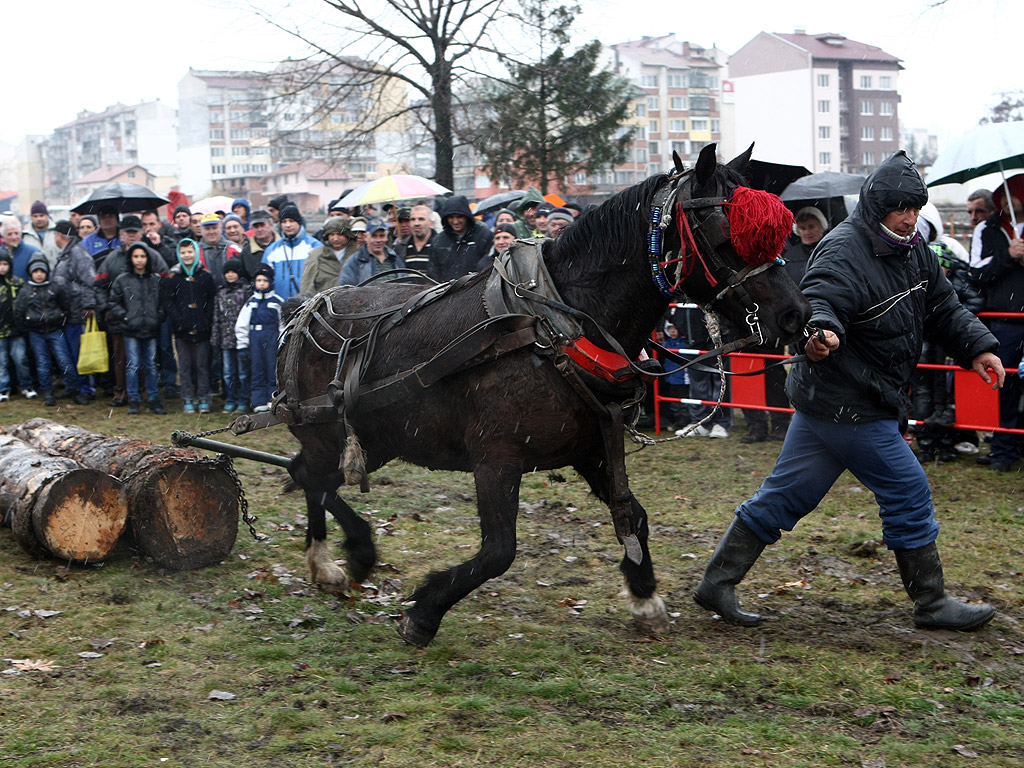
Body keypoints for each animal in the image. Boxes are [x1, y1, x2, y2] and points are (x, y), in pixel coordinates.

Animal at [276, 143, 811, 643]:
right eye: (727, 231)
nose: (795, 313)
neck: (557, 325)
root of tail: (308, 306)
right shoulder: (496, 457)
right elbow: (498, 551)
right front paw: (425, 611)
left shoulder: (590, 446)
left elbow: (633, 516)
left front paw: (645, 597)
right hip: (332, 435)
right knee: (308, 476)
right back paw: (339, 558)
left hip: (379, 439)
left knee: (309, 477)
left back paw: (338, 560)